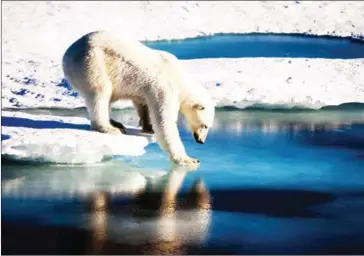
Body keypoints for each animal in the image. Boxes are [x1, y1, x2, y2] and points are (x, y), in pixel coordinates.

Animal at [62, 31, 215, 166]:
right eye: (205, 126)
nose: (201, 141)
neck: (179, 78)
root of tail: (67, 54)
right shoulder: (164, 87)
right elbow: (164, 122)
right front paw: (188, 159)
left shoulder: (146, 89)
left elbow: (143, 104)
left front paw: (148, 126)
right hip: (92, 62)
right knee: (100, 92)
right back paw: (109, 128)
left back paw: (116, 123)